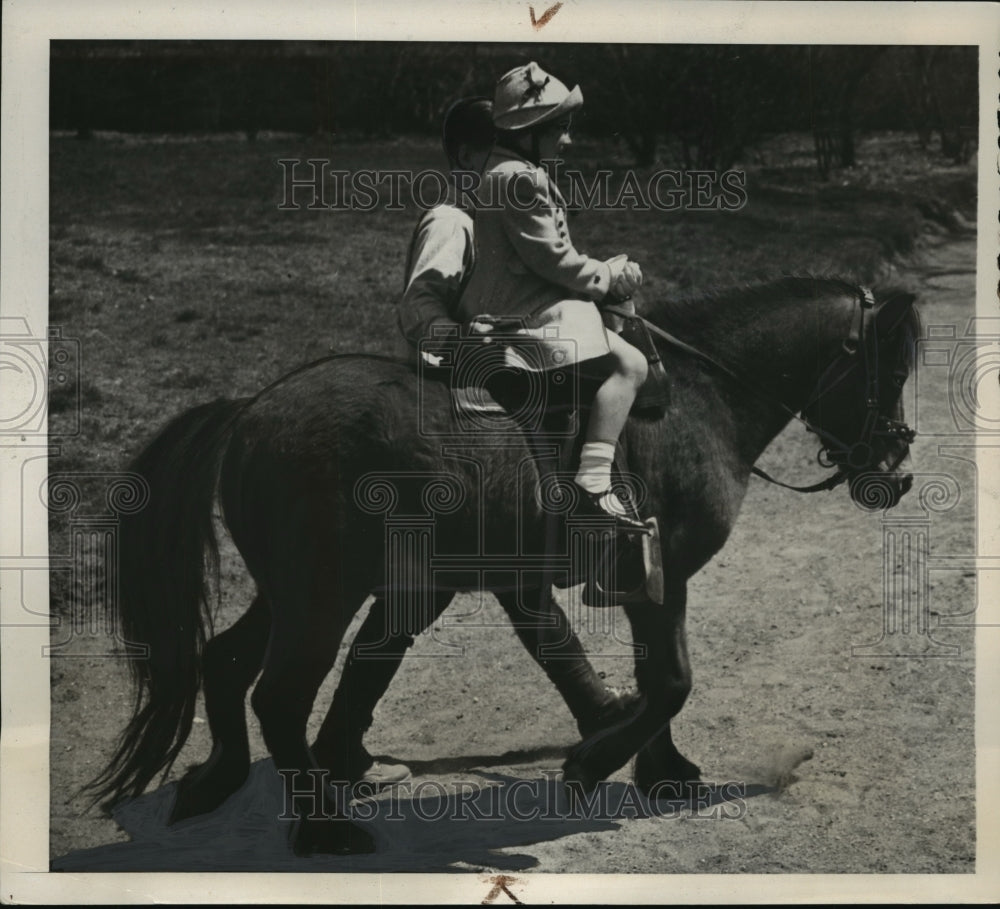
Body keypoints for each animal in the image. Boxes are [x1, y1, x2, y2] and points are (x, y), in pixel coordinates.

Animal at [88, 274, 920, 852]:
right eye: (888, 369)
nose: (895, 471)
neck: (695, 397)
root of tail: (252, 407)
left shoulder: (623, 580)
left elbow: (649, 675)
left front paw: (657, 767)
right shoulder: (657, 576)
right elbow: (670, 681)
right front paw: (597, 761)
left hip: (296, 592)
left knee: (228, 660)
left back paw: (220, 778)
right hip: (323, 596)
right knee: (280, 696)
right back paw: (324, 826)